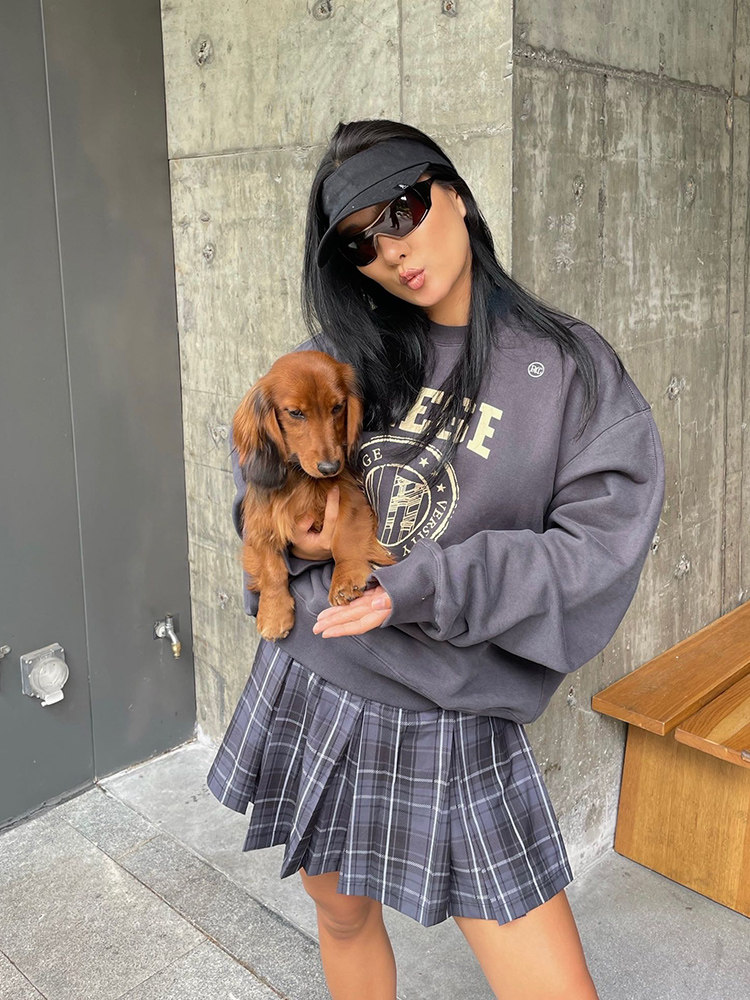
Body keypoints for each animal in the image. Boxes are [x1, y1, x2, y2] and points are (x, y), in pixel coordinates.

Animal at [232, 350, 396, 641]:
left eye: (337, 407)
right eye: (296, 413)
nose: (331, 467)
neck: (304, 479)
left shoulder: (349, 497)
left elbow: (345, 536)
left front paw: (345, 578)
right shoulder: (261, 520)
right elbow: (271, 566)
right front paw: (273, 613)